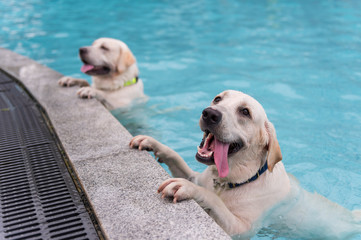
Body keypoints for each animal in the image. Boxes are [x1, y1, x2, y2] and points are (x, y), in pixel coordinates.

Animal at [131, 90, 360, 240]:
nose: (210, 113)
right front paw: (153, 143)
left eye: (245, 112)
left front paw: (187, 188)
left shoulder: (240, 228)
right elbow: (177, 157)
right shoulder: (199, 176)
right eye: (218, 98)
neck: (228, 181)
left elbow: (214, 200)